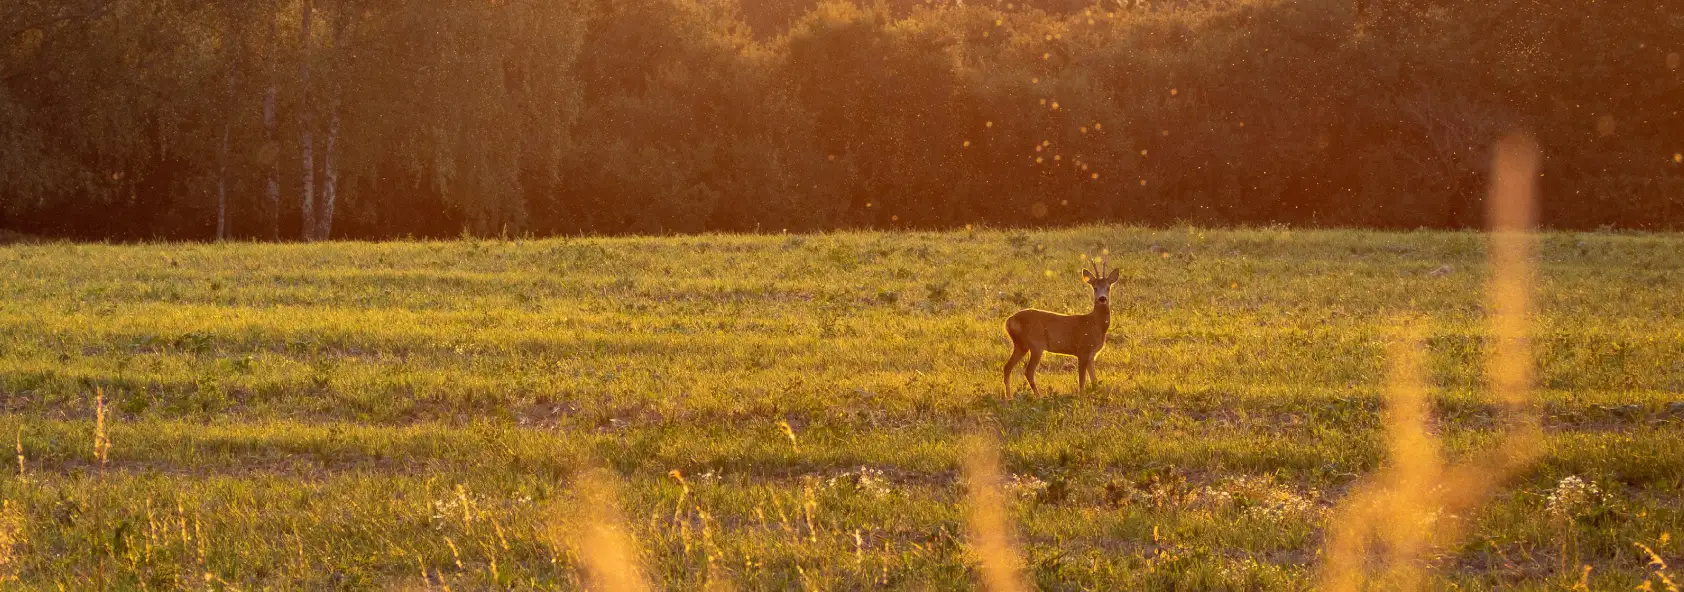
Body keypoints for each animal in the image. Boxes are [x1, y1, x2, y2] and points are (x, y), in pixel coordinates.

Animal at [1002, 258, 1119, 399]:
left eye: (1108, 287)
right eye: (1095, 288)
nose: (1102, 298)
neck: (1095, 324)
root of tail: (1008, 322)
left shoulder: (1092, 354)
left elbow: (1094, 380)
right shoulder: (1083, 350)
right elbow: (1082, 380)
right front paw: (1081, 397)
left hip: (1021, 345)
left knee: (1007, 367)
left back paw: (1009, 397)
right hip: (1036, 344)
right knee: (1028, 372)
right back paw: (1039, 397)